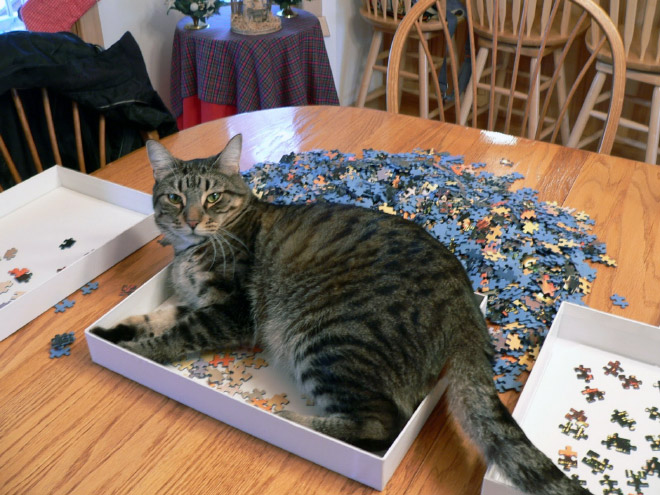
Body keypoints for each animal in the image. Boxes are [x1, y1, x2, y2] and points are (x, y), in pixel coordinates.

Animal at [90, 136, 592, 495]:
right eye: (175, 198)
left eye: (212, 199)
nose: (192, 219)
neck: (192, 251)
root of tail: (464, 299)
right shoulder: (194, 301)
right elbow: (157, 317)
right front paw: (114, 330)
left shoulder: (228, 313)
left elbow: (173, 336)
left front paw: (141, 352)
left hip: (327, 338)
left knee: (378, 423)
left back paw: (289, 421)